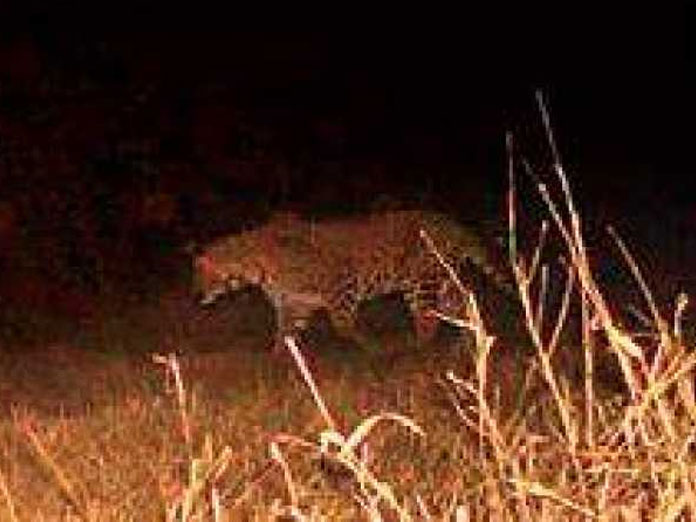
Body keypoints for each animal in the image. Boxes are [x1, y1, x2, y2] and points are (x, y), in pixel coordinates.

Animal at [192, 209, 512, 348]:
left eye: (203, 276)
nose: (196, 296)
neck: (258, 266)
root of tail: (451, 223)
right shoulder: (294, 303)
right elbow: (285, 334)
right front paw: (278, 361)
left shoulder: (340, 285)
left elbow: (342, 324)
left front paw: (368, 346)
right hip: (439, 280)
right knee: (462, 306)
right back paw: (469, 344)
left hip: (423, 283)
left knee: (428, 319)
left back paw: (415, 350)